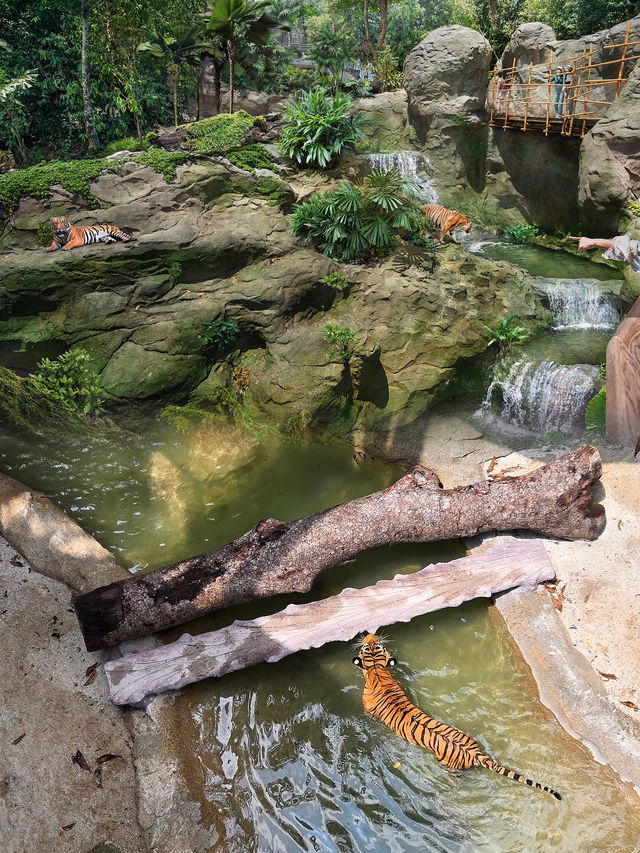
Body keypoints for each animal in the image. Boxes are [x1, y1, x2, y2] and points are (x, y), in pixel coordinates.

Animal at [352, 632, 564, 800]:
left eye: (369, 645)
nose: (370, 634)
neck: (377, 672)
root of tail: (476, 753)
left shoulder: (368, 710)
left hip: (448, 765)